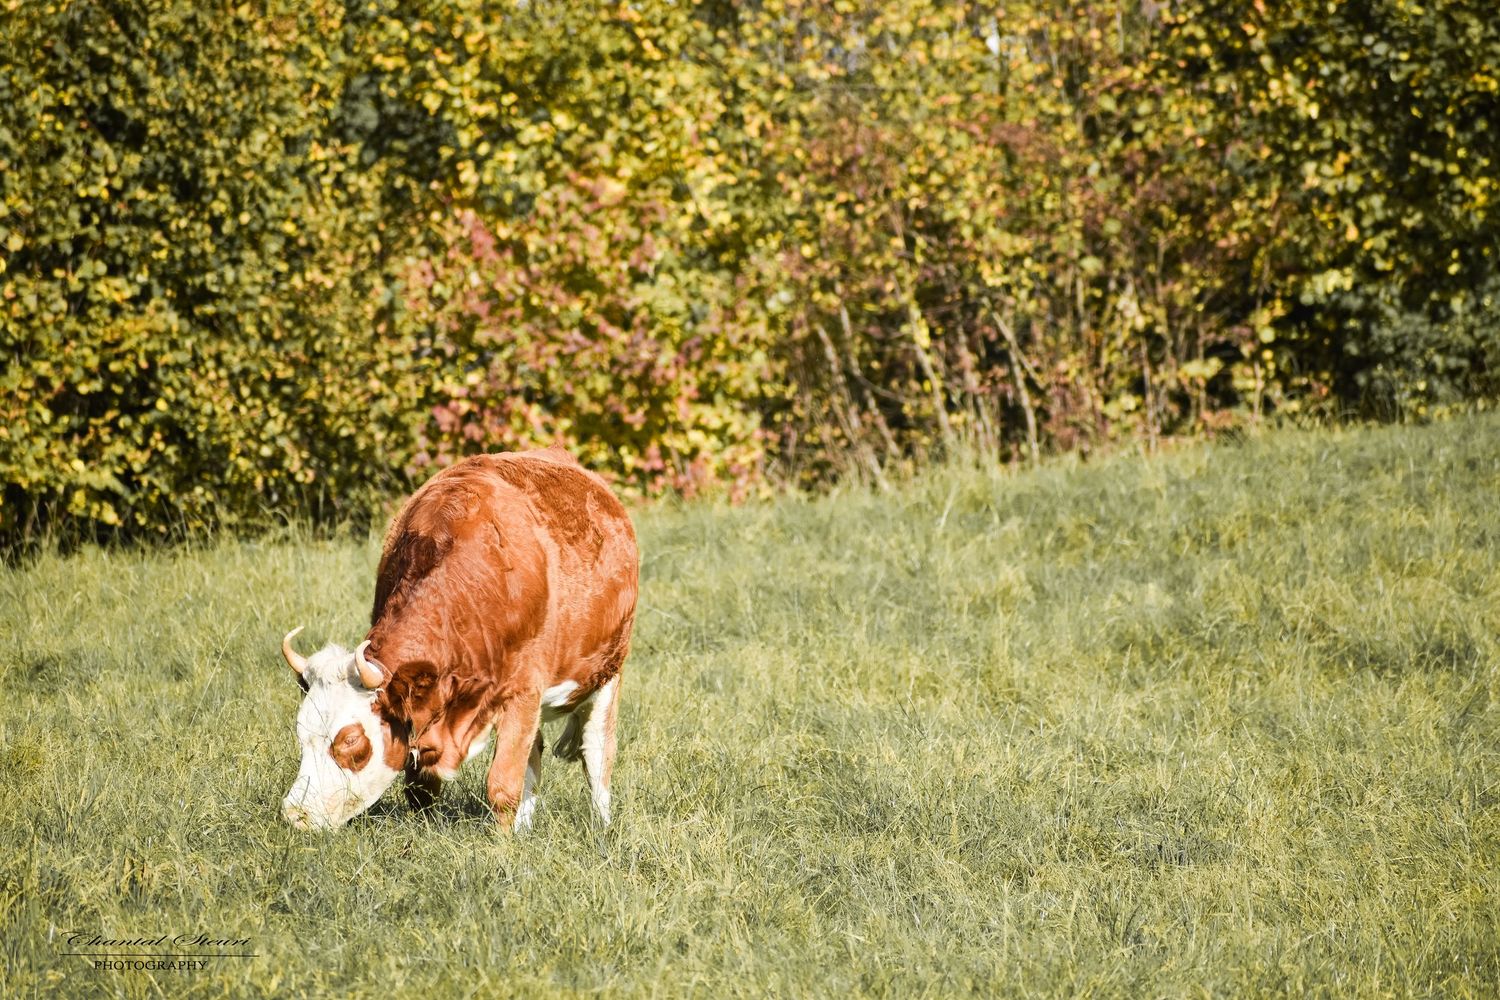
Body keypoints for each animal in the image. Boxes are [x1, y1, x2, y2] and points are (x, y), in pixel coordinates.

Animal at [278, 447, 638, 832]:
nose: (296, 814)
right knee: (535, 751)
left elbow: (502, 785)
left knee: (597, 751)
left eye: (350, 740)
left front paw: (504, 843)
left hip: (608, 671)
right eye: (300, 732)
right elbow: (421, 786)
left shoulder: (524, 690)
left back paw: (601, 827)